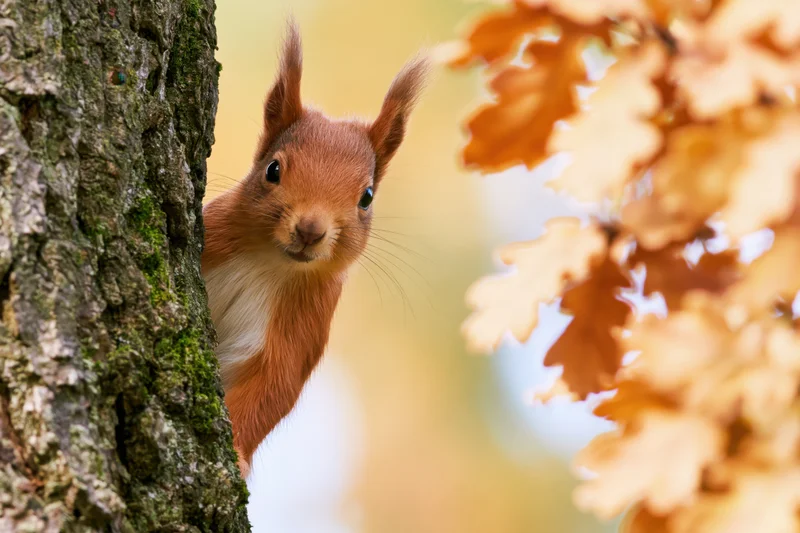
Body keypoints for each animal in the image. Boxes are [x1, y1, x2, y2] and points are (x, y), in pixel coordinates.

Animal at [201, 19, 429, 478]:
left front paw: (236, 453)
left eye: (367, 197)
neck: (268, 262)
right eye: (273, 169)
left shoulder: (302, 326)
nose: (310, 230)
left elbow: (272, 387)